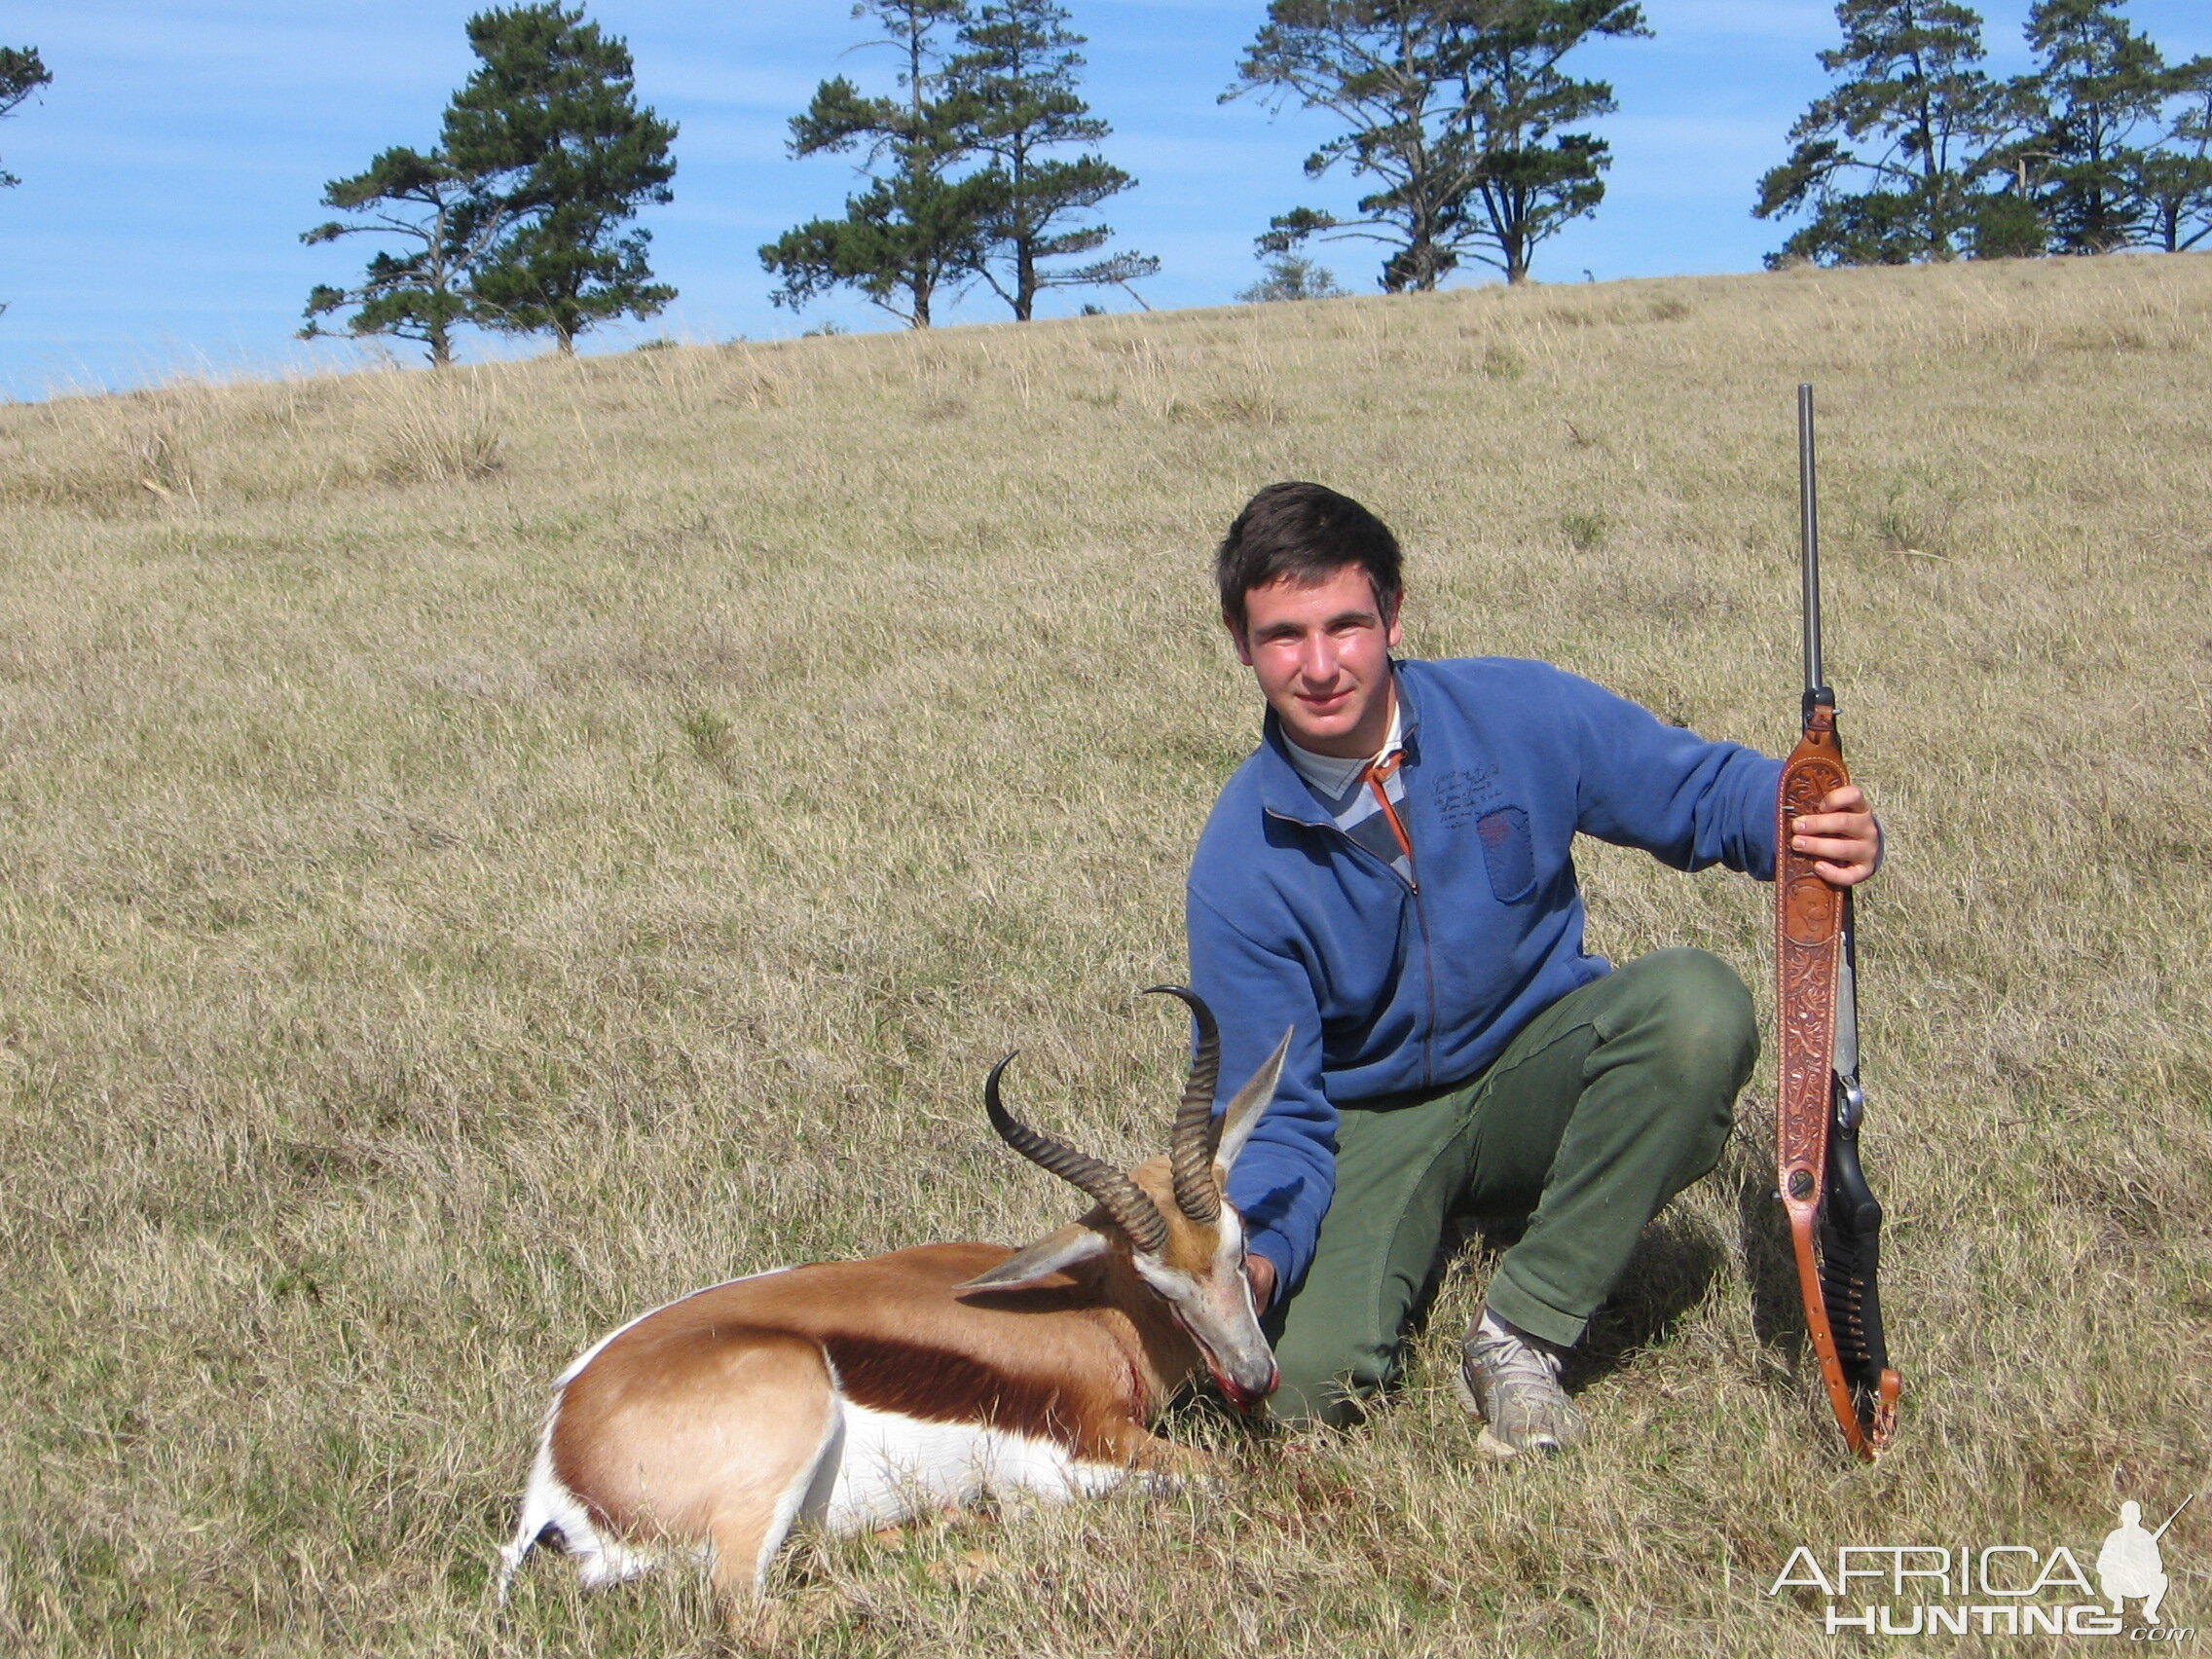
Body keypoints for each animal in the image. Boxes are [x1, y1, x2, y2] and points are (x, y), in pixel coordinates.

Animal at [498, 986, 1291, 1610]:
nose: (1254, 1376)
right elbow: (1223, 1476)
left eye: (1237, 1241)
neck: (1093, 1315)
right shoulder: (1082, 1452)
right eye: (1158, 1283)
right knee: (749, 1610)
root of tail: (562, 1458)